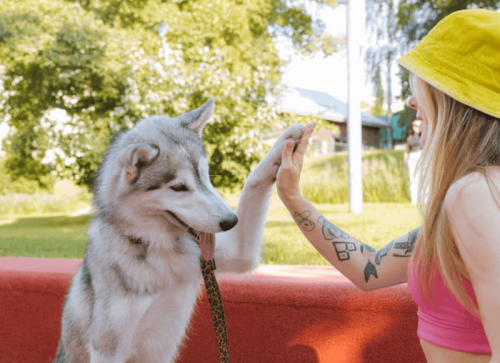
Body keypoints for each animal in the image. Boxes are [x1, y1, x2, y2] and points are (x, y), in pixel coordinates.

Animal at [53, 98, 304, 362]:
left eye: (205, 176)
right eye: (179, 187)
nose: (230, 221)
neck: (155, 248)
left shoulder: (237, 253)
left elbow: (252, 182)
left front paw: (285, 148)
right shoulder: (107, 349)